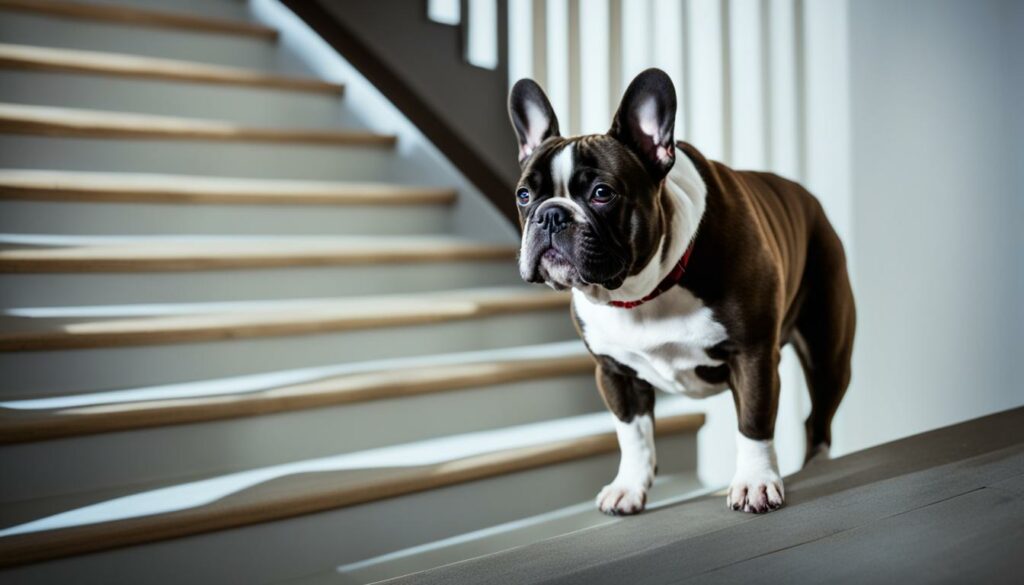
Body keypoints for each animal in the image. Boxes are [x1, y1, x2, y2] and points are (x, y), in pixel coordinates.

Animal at [509, 69, 856, 516]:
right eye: (524, 195)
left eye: (602, 193)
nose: (550, 214)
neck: (642, 293)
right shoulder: (614, 372)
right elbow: (633, 436)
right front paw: (629, 487)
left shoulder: (753, 354)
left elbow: (754, 422)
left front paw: (755, 482)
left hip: (827, 351)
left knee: (819, 418)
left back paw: (817, 465)